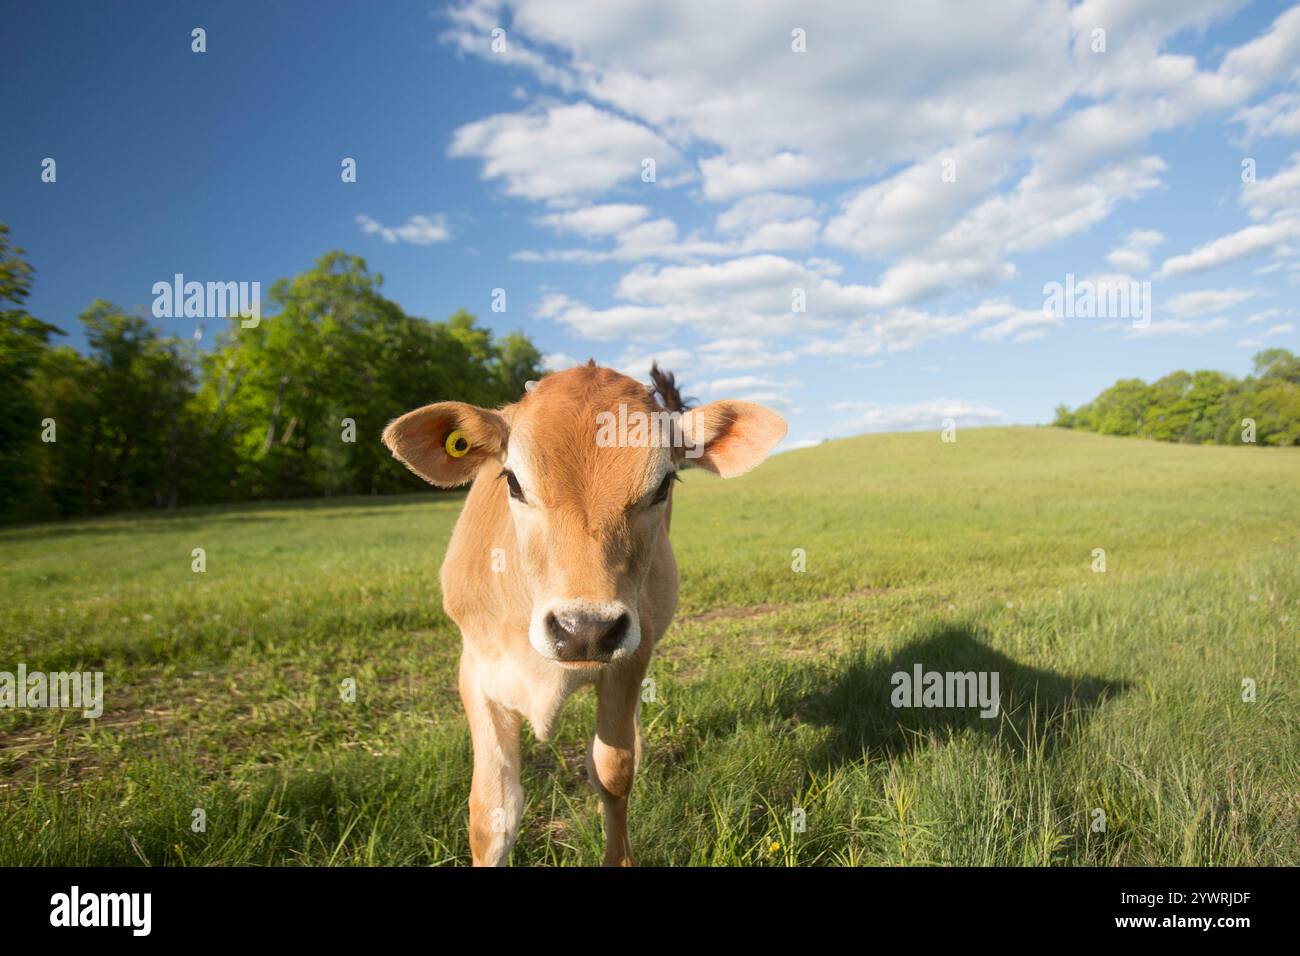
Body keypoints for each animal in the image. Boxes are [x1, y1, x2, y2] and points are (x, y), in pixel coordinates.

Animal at [382, 361, 787, 866]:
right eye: (513, 481)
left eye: (663, 484)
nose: (585, 630)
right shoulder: (475, 669)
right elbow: (492, 812)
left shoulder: (629, 658)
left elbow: (612, 771)